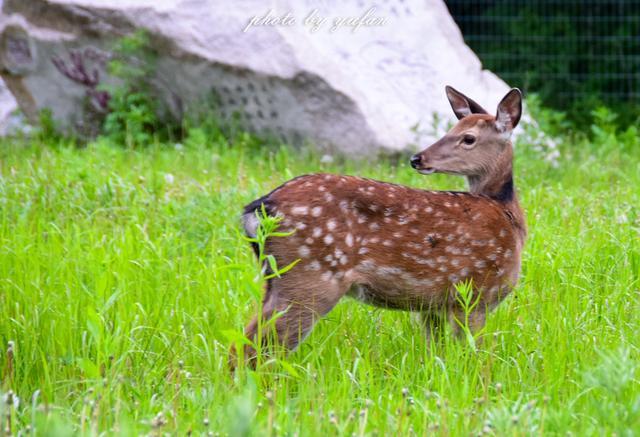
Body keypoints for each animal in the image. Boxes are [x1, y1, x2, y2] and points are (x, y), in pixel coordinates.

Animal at [232, 86, 528, 368]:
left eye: (467, 138)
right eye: (451, 131)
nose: (417, 159)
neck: (508, 217)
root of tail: (259, 208)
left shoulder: (433, 306)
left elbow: (436, 354)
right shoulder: (475, 294)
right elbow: (473, 355)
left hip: (276, 277)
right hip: (311, 275)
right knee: (259, 347)